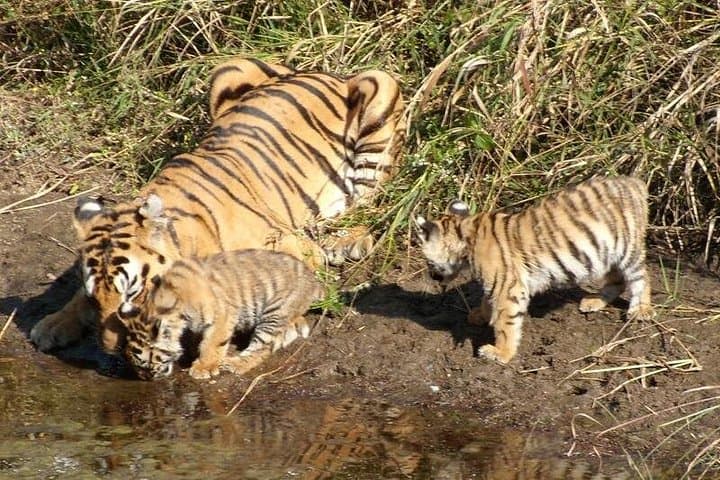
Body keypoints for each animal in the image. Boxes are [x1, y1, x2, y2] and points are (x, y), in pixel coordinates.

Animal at [29, 57, 405, 354]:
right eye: (97, 299)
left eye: (132, 300)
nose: (110, 350)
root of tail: (325, 72)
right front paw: (52, 324)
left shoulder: (292, 247)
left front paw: (287, 327)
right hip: (229, 68)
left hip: (379, 87)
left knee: (369, 203)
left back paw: (349, 240)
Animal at [121, 247, 324, 380]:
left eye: (147, 361)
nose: (145, 378)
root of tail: (314, 280)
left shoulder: (222, 316)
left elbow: (211, 344)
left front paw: (203, 367)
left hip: (274, 312)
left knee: (261, 348)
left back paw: (235, 364)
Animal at [414, 176, 656, 363]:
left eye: (427, 261)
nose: (433, 276)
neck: (466, 236)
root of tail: (633, 182)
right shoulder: (498, 283)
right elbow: (486, 300)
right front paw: (479, 316)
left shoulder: (508, 287)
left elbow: (506, 323)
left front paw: (501, 353)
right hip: (604, 253)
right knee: (618, 280)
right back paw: (593, 301)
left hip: (627, 249)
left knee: (641, 277)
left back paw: (641, 311)